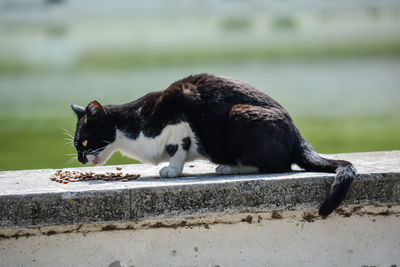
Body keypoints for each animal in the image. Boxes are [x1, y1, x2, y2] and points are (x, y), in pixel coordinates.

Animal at [70, 73, 354, 218]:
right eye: (76, 145)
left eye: (84, 141)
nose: (81, 158)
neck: (132, 127)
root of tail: (297, 134)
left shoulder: (178, 120)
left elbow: (177, 148)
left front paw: (172, 170)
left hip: (240, 113)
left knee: (278, 165)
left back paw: (229, 167)